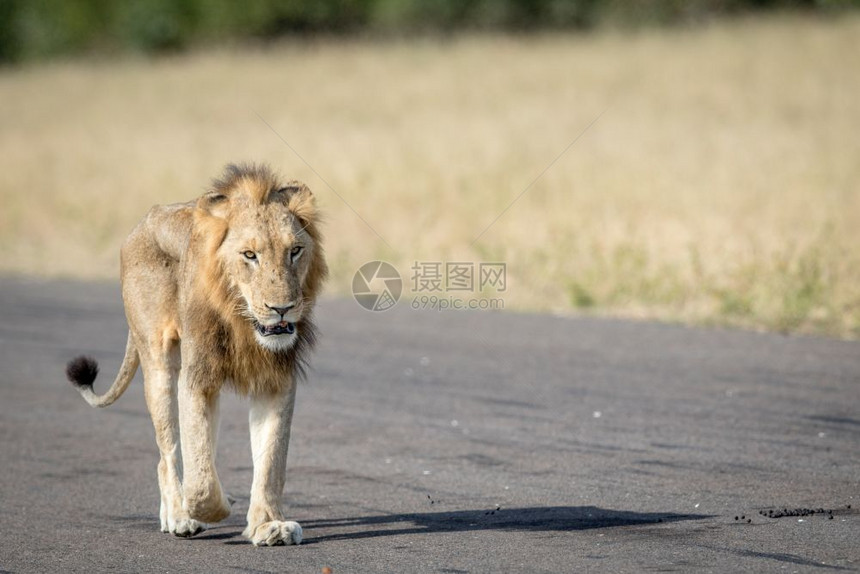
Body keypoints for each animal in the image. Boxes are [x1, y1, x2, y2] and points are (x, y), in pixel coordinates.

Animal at [63, 163, 326, 548]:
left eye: (294, 250)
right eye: (250, 255)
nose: (282, 308)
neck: (243, 324)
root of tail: (144, 221)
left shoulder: (275, 382)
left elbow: (271, 461)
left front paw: (268, 525)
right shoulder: (197, 377)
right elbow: (199, 478)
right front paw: (203, 508)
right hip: (158, 362)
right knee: (168, 452)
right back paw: (178, 515)